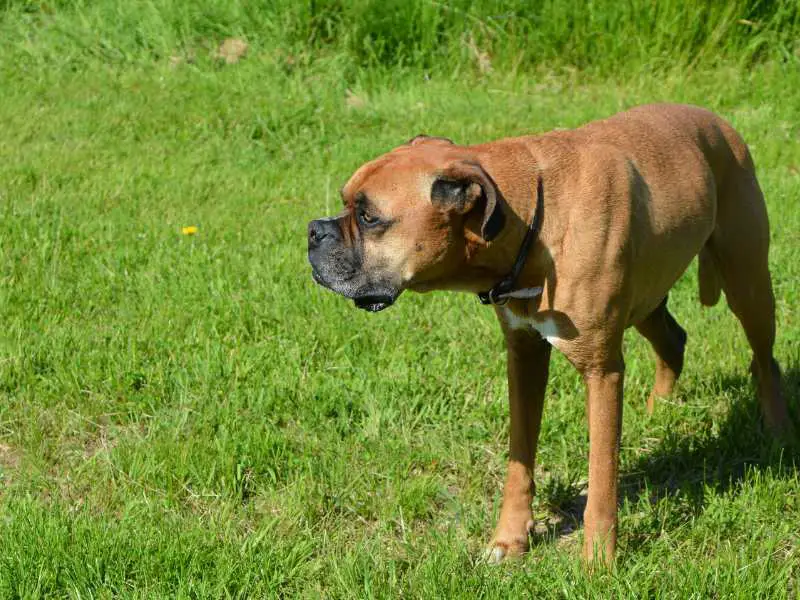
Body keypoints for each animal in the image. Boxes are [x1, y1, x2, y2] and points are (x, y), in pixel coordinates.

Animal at [306, 103, 792, 564]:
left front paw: (598, 563)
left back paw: (778, 433)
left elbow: (602, 481)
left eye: (368, 217)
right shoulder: (524, 357)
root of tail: (717, 121)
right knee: (674, 341)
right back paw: (661, 412)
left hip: (747, 282)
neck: (533, 219)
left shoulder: (601, 372)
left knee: (764, 359)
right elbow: (519, 461)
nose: (313, 230)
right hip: (647, 298)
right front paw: (509, 540)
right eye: (347, 203)